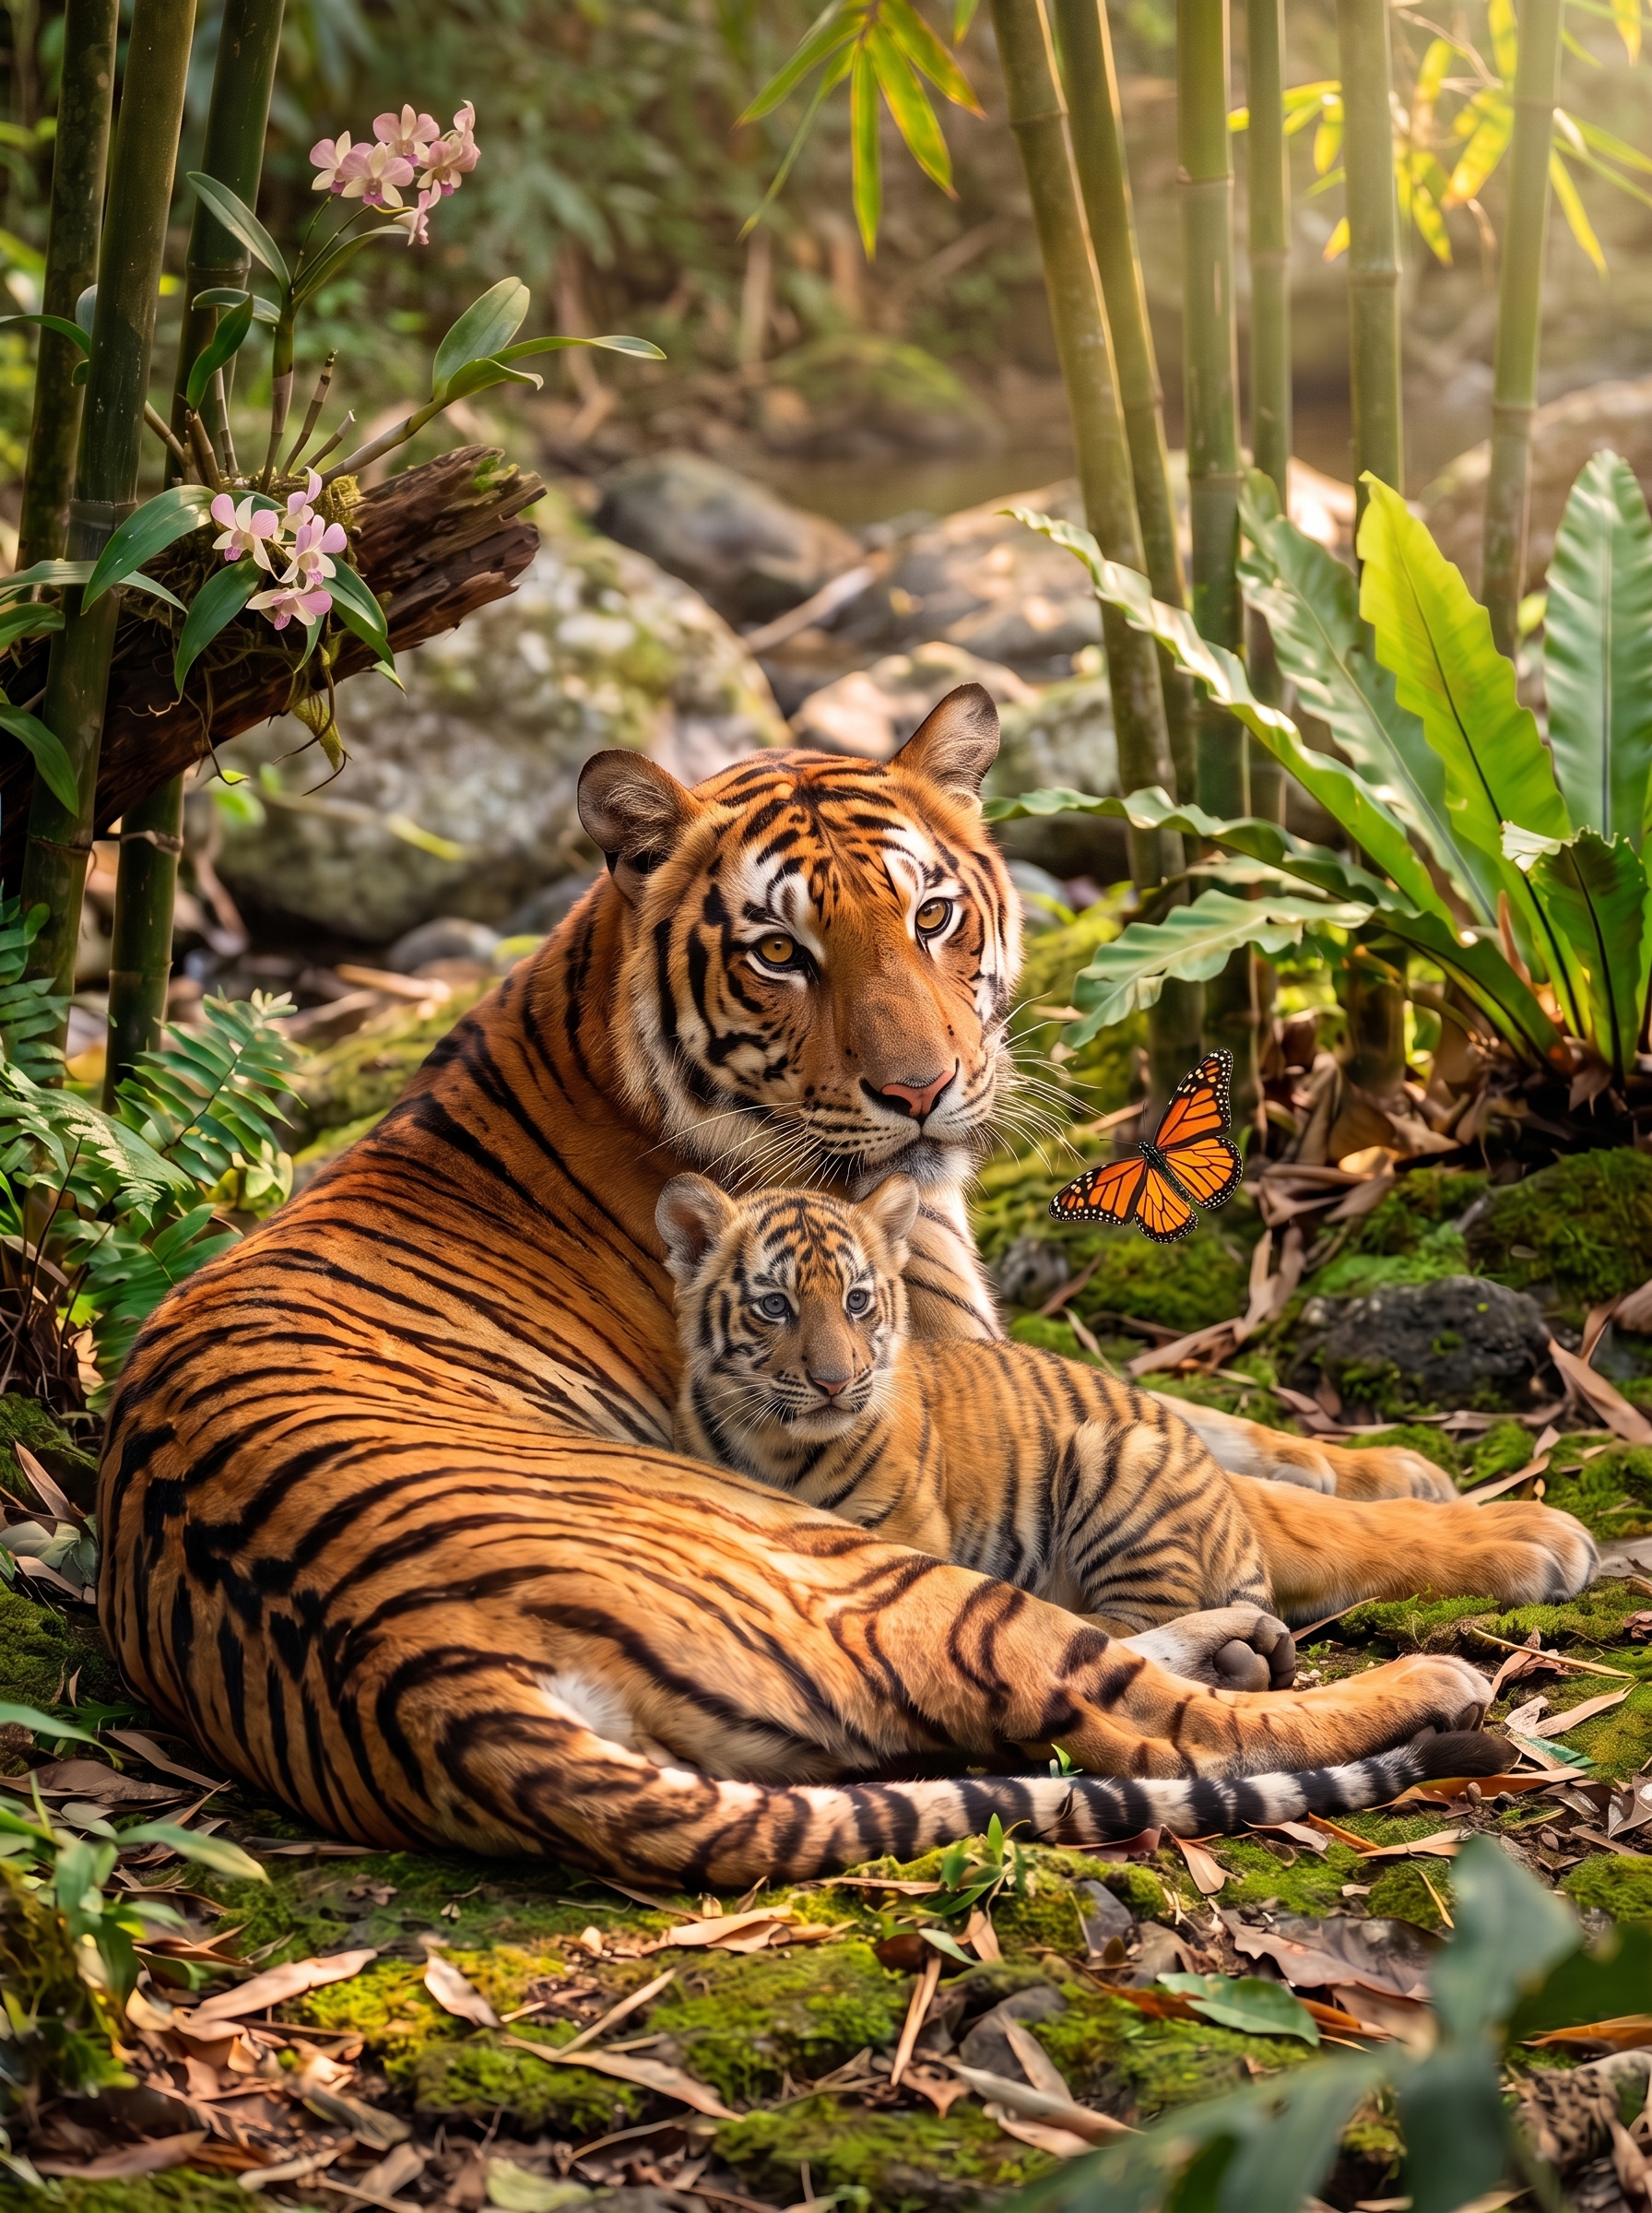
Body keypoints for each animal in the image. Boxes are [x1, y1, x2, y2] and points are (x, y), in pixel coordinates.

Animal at [98, 684, 1592, 1884]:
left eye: (932, 916)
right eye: (780, 951)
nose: (922, 1091)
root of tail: (423, 1682)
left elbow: (1222, 1427)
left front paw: (1402, 1465)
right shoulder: (932, 1384)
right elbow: (1267, 1506)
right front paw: (1514, 1534)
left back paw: (1234, 1638)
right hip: (875, 1572)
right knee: (1155, 1725)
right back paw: (1413, 1679)